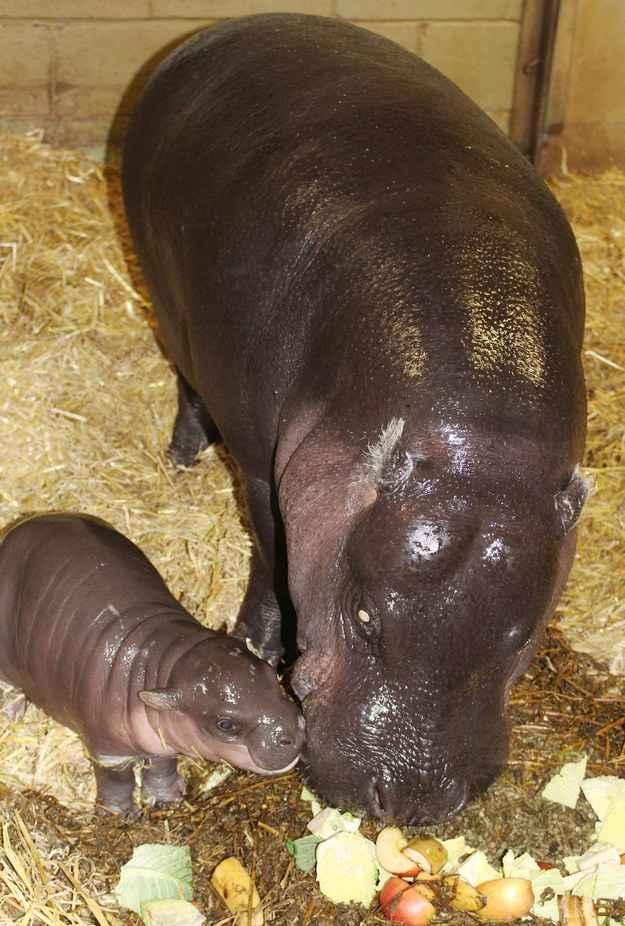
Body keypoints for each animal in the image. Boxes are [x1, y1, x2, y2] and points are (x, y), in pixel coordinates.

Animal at [0, 514, 303, 813]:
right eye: (225, 724)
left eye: (272, 674)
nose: (293, 732)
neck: (165, 662)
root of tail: (25, 525)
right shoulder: (106, 750)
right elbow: (116, 778)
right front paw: (118, 814)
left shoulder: (161, 737)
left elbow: (161, 767)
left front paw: (167, 800)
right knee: (9, 686)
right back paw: (10, 715)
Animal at [122, 14, 588, 823]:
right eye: (366, 616)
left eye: (519, 635)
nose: (405, 797)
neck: (483, 433)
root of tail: (223, 28)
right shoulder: (268, 477)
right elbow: (271, 557)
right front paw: (257, 645)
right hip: (167, 300)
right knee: (185, 378)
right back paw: (182, 452)